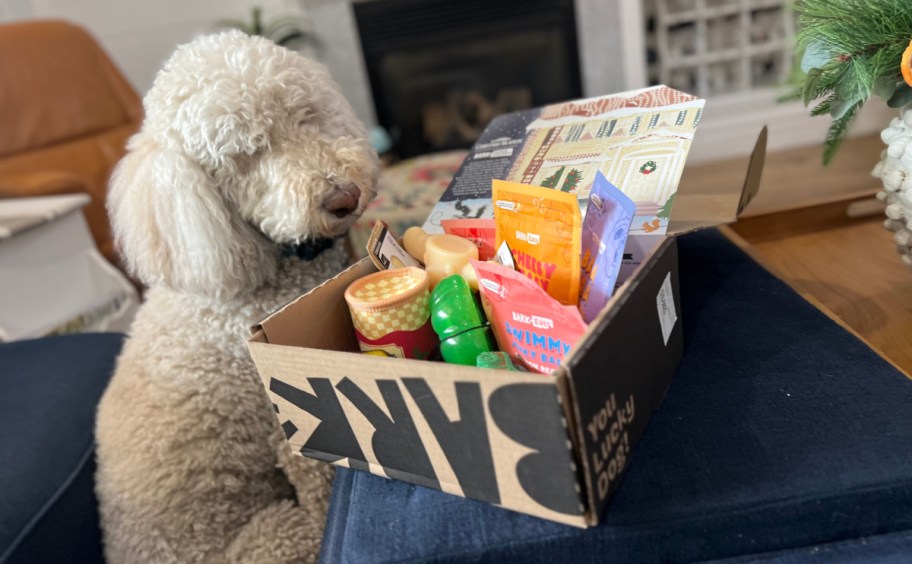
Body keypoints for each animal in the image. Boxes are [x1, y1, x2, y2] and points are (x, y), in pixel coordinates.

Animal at [93, 32, 378, 564]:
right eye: (245, 154)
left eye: (305, 115)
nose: (343, 197)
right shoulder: (289, 429)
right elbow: (320, 481)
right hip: (278, 534)